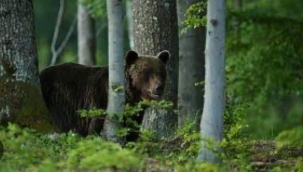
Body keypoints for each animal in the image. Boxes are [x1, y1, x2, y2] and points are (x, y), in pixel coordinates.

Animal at [39, 49, 170, 141]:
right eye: (148, 72)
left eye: (161, 72)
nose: (159, 87)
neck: (130, 96)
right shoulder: (99, 100)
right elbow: (95, 127)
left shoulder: (135, 112)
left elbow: (132, 130)